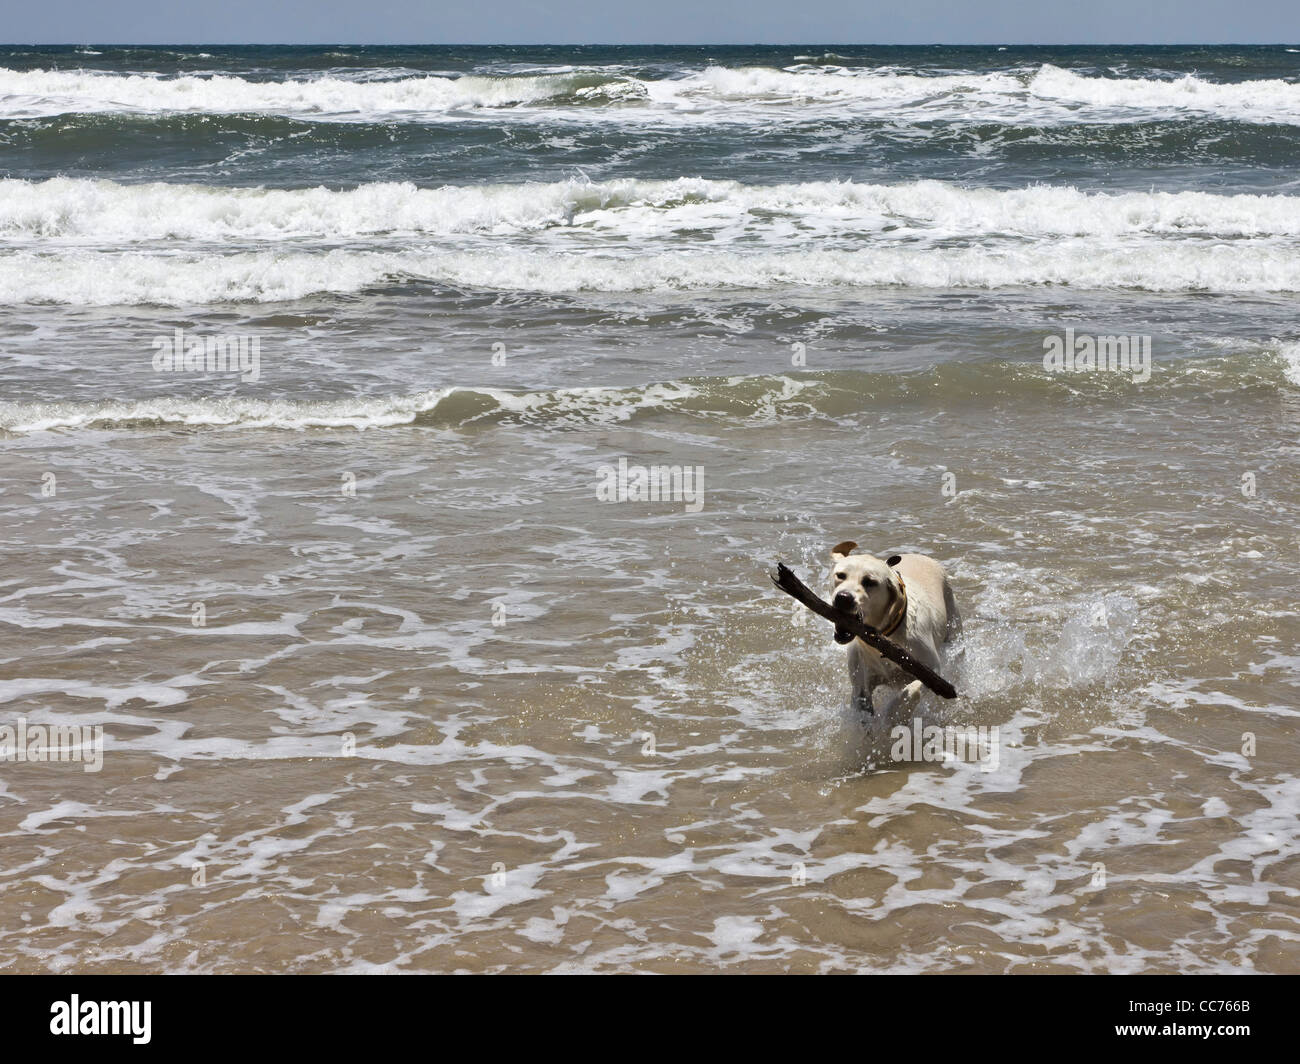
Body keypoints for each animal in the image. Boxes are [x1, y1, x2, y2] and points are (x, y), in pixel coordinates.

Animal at [826, 538, 961, 712]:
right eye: (841, 575)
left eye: (870, 582)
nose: (843, 597)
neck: (881, 639)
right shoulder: (860, 687)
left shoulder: (932, 671)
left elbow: (910, 693)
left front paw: (892, 714)